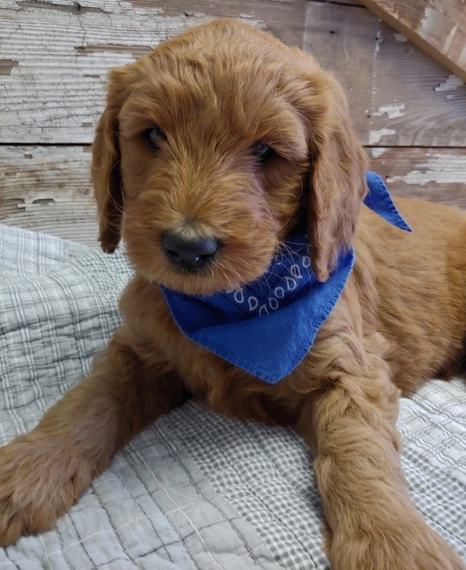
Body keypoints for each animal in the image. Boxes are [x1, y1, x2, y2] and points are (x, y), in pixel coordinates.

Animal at [0, 17, 466, 568]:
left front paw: (391, 540)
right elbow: (90, 399)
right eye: (153, 135)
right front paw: (30, 466)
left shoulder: (352, 367)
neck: (237, 306)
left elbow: (360, 452)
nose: (187, 247)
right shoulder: (140, 348)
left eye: (264, 150)